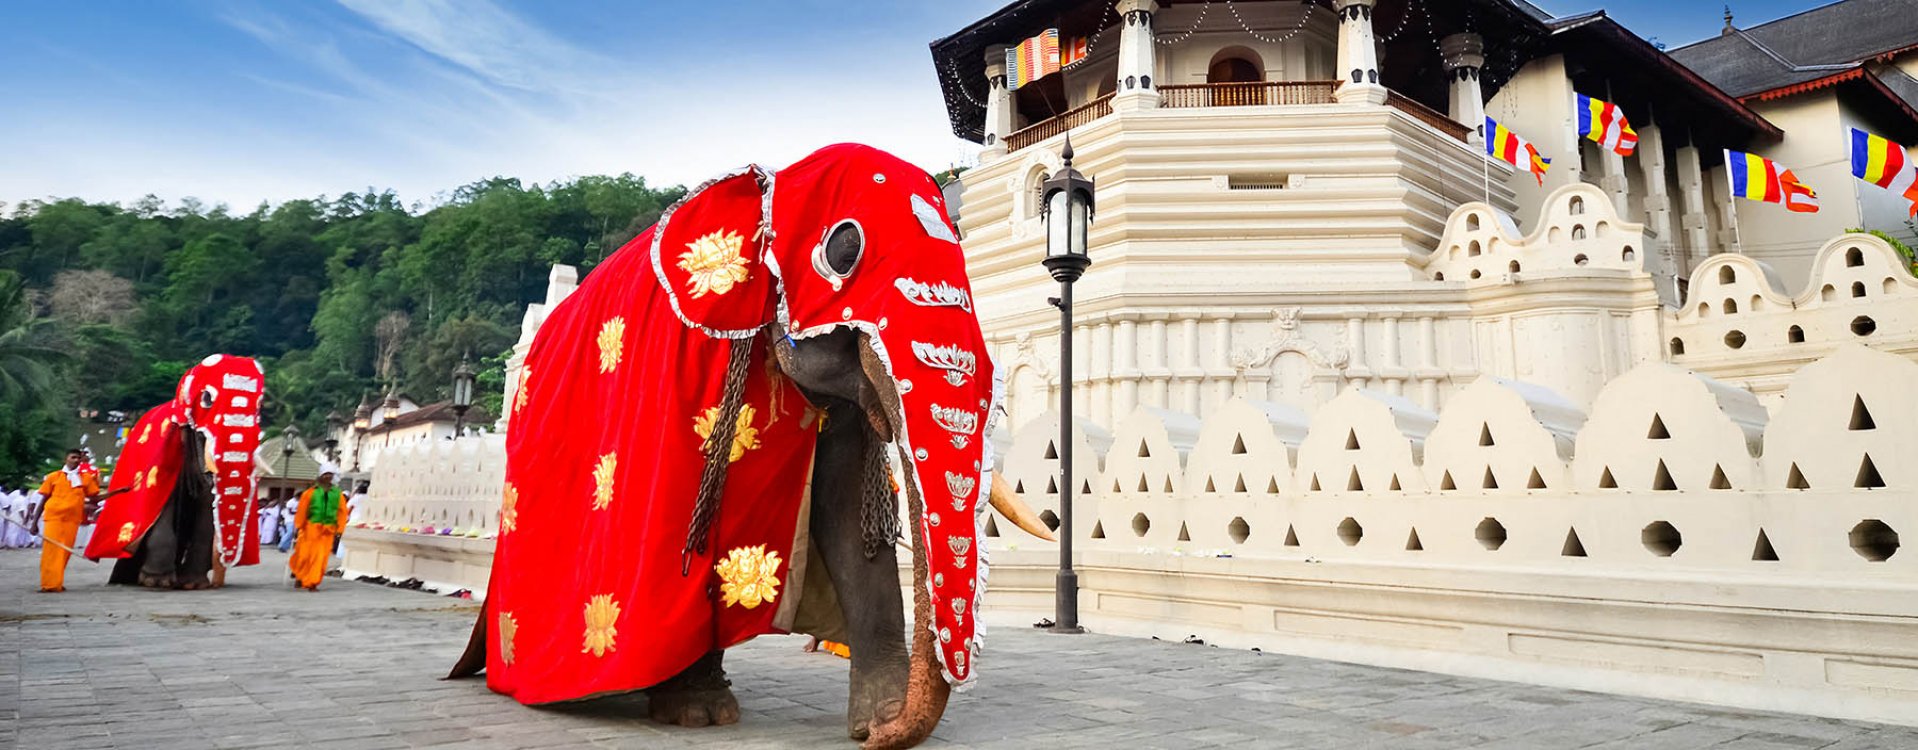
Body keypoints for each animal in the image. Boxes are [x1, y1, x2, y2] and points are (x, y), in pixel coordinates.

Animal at [87, 354, 268, 590]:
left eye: (259, 406)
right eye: (207, 399)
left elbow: (206, 509)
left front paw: (194, 584)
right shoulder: (165, 452)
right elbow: (163, 505)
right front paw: (157, 582)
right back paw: (127, 579)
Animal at [443, 143, 1058, 748]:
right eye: (844, 249)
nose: (886, 732)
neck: (770, 186)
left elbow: (845, 515)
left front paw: (875, 719)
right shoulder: (686, 364)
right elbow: (685, 525)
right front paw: (696, 710)